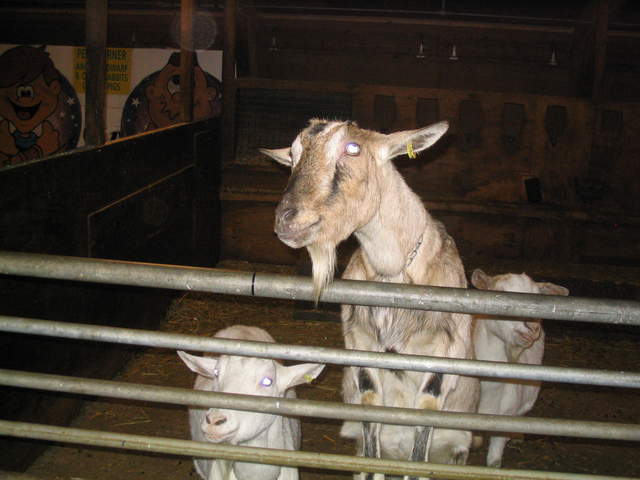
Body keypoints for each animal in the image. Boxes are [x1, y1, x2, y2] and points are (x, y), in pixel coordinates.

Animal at [262, 119, 479, 480]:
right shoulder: (361, 344)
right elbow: (370, 408)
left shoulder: (445, 352)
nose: (286, 220)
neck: (393, 273)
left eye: (353, 148)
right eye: (291, 155)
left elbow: (426, 413)